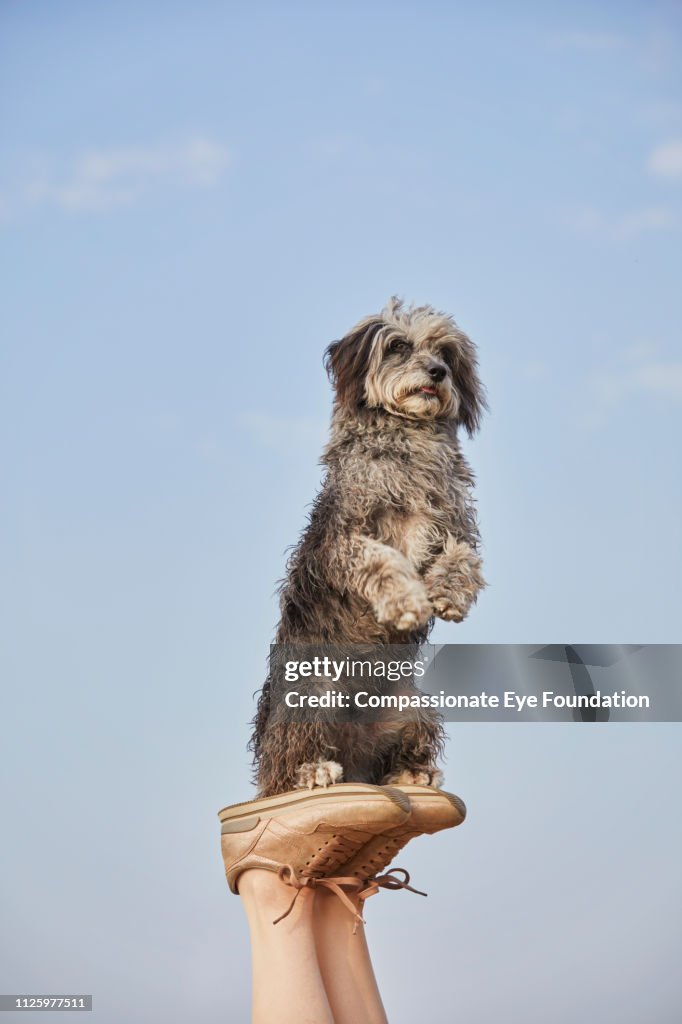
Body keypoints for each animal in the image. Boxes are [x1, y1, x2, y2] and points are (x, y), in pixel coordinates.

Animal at [249, 299, 483, 794]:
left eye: (445, 353)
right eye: (398, 347)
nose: (437, 372)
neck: (409, 442)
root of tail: (352, 758)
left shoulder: (455, 528)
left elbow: (464, 558)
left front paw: (450, 595)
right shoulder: (346, 540)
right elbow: (384, 561)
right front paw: (407, 601)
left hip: (412, 705)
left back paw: (413, 771)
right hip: (312, 693)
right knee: (286, 763)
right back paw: (313, 770)